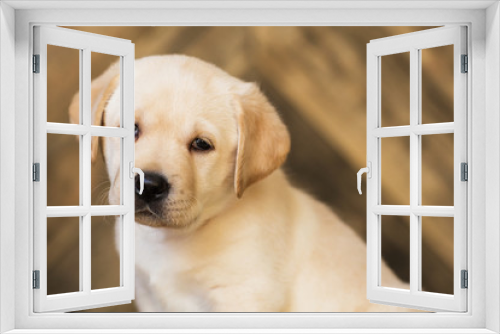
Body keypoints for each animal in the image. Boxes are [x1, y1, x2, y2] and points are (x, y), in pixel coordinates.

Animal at [69, 54, 410, 314]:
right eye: (130, 129)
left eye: (201, 144)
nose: (149, 184)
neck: (173, 240)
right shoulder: (148, 297)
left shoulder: (244, 299)